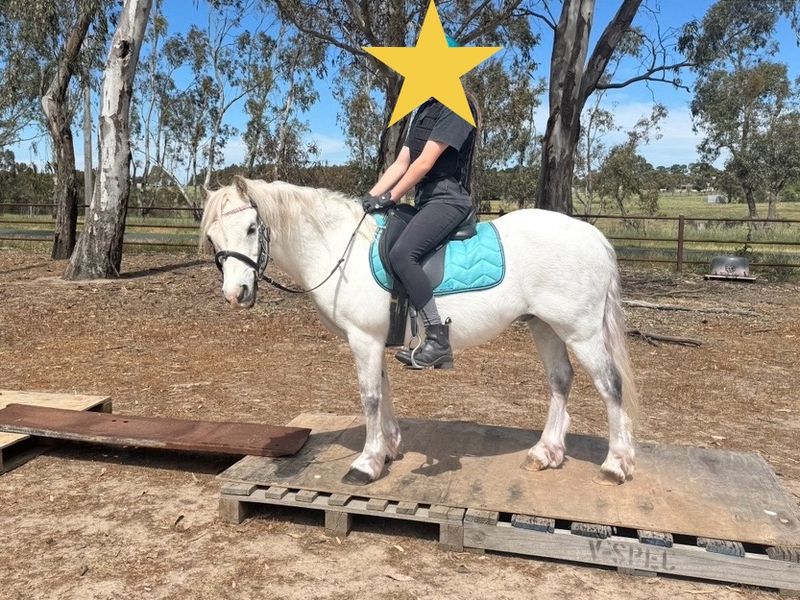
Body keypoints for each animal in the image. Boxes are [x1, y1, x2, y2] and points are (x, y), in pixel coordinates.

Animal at [200, 176, 639, 485]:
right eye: (212, 237)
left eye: (252, 229)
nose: (236, 294)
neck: (338, 248)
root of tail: (594, 236)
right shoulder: (372, 339)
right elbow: (383, 390)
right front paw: (389, 449)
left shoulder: (363, 337)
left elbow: (370, 397)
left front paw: (366, 463)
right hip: (545, 326)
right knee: (560, 380)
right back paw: (546, 452)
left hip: (580, 331)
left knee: (610, 386)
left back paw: (616, 464)